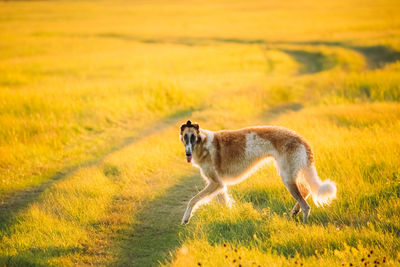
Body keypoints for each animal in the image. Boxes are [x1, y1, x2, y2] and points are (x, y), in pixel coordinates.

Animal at [180, 120, 336, 225]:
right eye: (185, 137)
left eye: (193, 137)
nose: (187, 153)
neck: (203, 143)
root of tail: (301, 138)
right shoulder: (219, 185)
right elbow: (225, 204)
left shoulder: (215, 183)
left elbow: (192, 200)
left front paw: (185, 218)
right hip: (293, 174)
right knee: (306, 191)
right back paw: (293, 212)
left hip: (287, 177)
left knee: (306, 206)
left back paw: (303, 224)